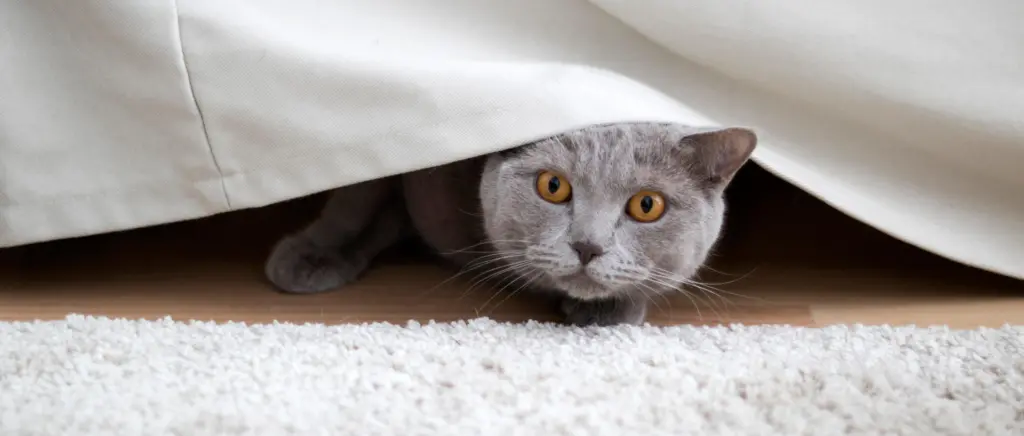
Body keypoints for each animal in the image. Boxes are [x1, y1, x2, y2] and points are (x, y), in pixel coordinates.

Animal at [268, 121, 757, 323]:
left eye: (647, 205)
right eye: (553, 186)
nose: (588, 244)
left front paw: (610, 309)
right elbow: (358, 194)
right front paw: (313, 256)